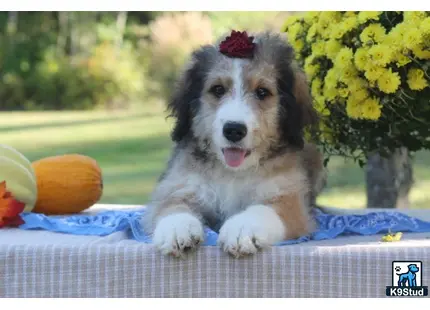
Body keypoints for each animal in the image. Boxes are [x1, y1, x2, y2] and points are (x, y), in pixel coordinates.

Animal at [141, 32, 326, 260]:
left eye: (262, 92)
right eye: (218, 89)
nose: (234, 130)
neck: (232, 173)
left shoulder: (290, 199)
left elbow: (262, 210)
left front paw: (242, 229)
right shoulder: (179, 186)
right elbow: (171, 206)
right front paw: (177, 228)